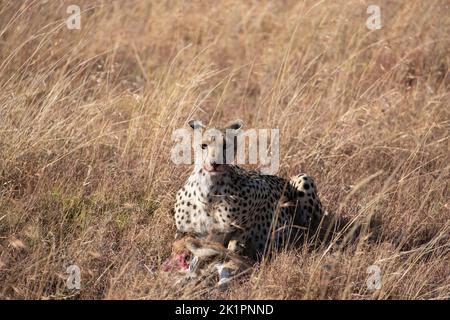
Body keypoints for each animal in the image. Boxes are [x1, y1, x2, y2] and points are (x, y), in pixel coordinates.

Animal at [172, 120, 324, 260]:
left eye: (226, 145)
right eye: (204, 146)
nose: (215, 163)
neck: (209, 190)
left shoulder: (260, 192)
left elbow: (234, 244)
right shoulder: (184, 232)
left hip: (303, 179)